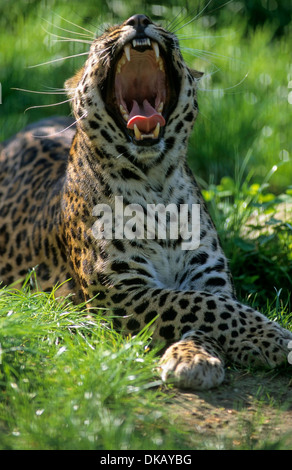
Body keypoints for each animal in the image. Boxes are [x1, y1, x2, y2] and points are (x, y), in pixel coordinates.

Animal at [0, 14, 292, 390]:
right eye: (104, 35)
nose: (139, 19)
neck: (157, 186)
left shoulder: (209, 278)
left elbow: (212, 307)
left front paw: (193, 357)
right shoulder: (119, 291)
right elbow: (198, 306)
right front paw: (272, 337)